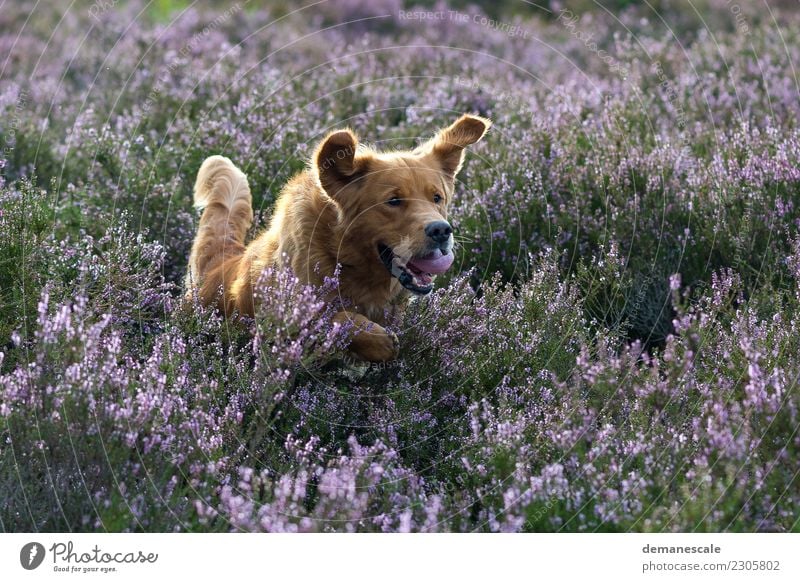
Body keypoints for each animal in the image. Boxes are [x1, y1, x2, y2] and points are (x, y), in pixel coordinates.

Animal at [184, 113, 490, 360]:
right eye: (393, 201)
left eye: (437, 198)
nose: (441, 230)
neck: (342, 255)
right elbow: (333, 317)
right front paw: (377, 339)